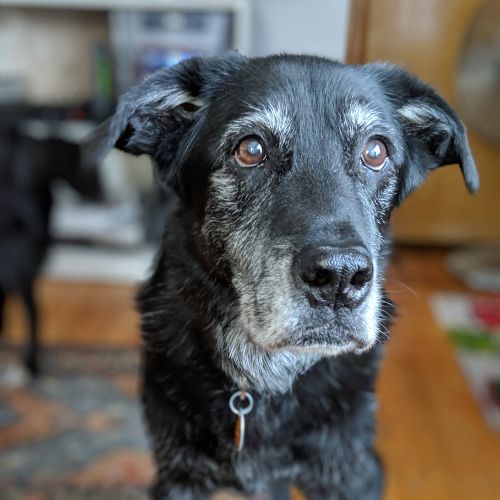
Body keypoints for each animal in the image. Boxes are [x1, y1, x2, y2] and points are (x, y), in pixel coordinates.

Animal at [94, 52, 476, 498]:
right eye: (251, 149)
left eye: (375, 151)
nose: (340, 277)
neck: (264, 374)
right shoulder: (178, 475)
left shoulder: (350, 472)